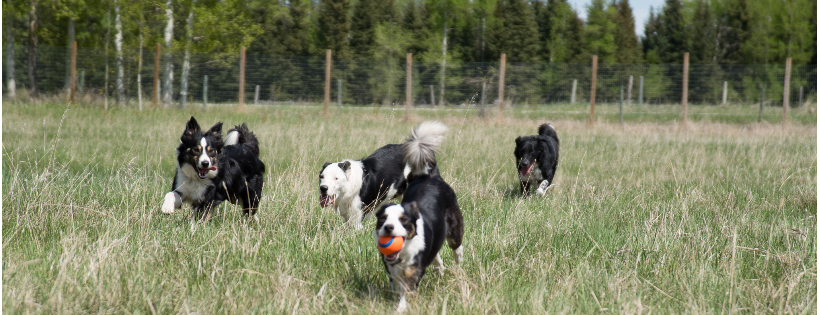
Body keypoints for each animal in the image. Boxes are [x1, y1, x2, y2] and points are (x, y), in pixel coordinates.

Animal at [374, 121, 464, 314]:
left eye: (403, 220)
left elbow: (407, 292)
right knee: (437, 257)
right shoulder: (392, 270)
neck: (403, 253)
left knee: (457, 249)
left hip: (454, 229)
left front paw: (401, 308)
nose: (389, 228)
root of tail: (430, 175)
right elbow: (397, 287)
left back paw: (459, 268)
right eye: (383, 219)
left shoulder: (413, 271)